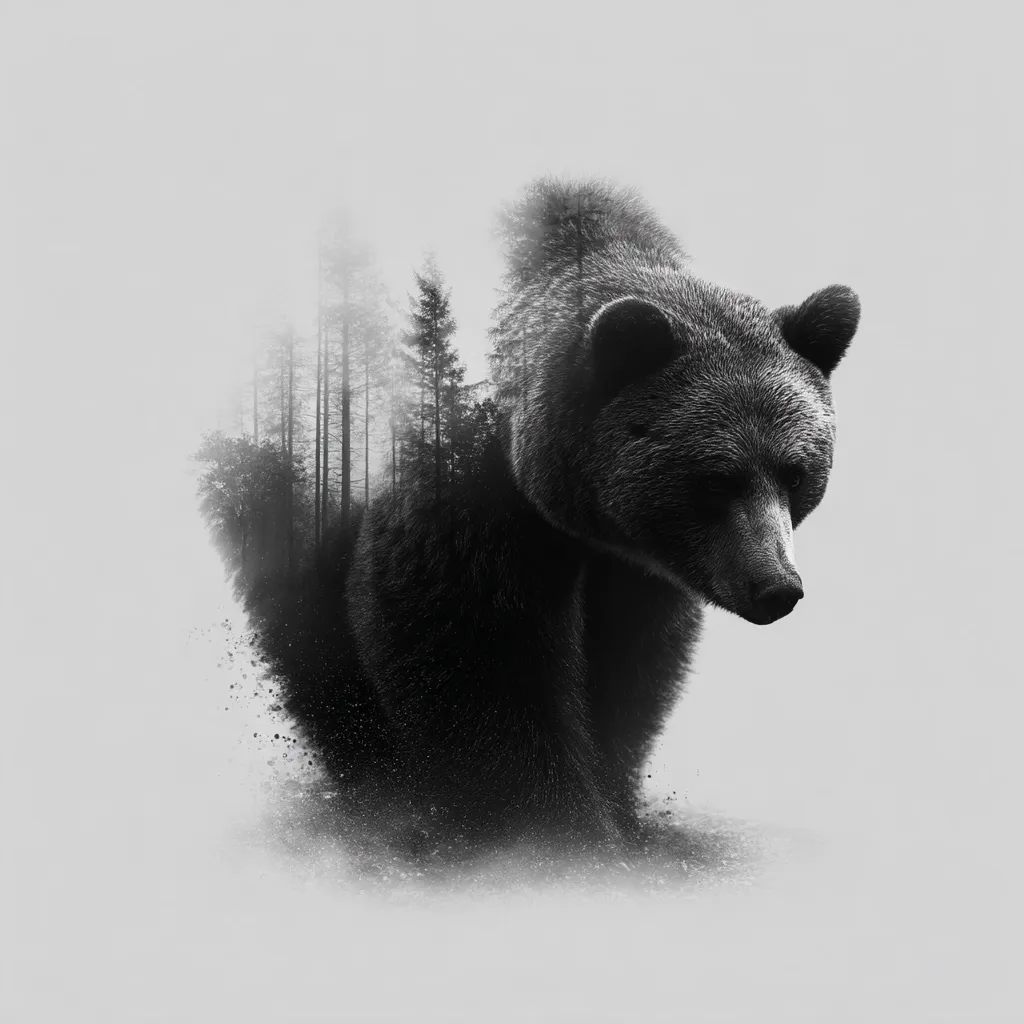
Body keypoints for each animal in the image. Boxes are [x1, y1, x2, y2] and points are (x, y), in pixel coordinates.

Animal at [264, 178, 860, 852]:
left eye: (796, 472)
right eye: (715, 479)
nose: (777, 587)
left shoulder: (636, 567)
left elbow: (630, 665)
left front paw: (614, 801)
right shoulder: (464, 492)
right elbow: (477, 651)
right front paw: (556, 823)